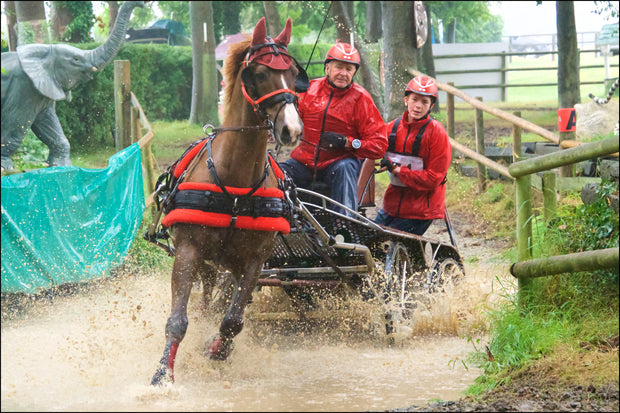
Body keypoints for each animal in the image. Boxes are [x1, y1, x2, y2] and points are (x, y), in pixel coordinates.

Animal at [150, 15, 306, 384]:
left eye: (295, 72)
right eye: (260, 73)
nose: (292, 129)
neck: (234, 181)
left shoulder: (254, 260)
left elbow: (233, 321)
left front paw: (217, 349)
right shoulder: (189, 251)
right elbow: (177, 321)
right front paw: (163, 374)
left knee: (224, 304)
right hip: (206, 263)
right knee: (206, 298)